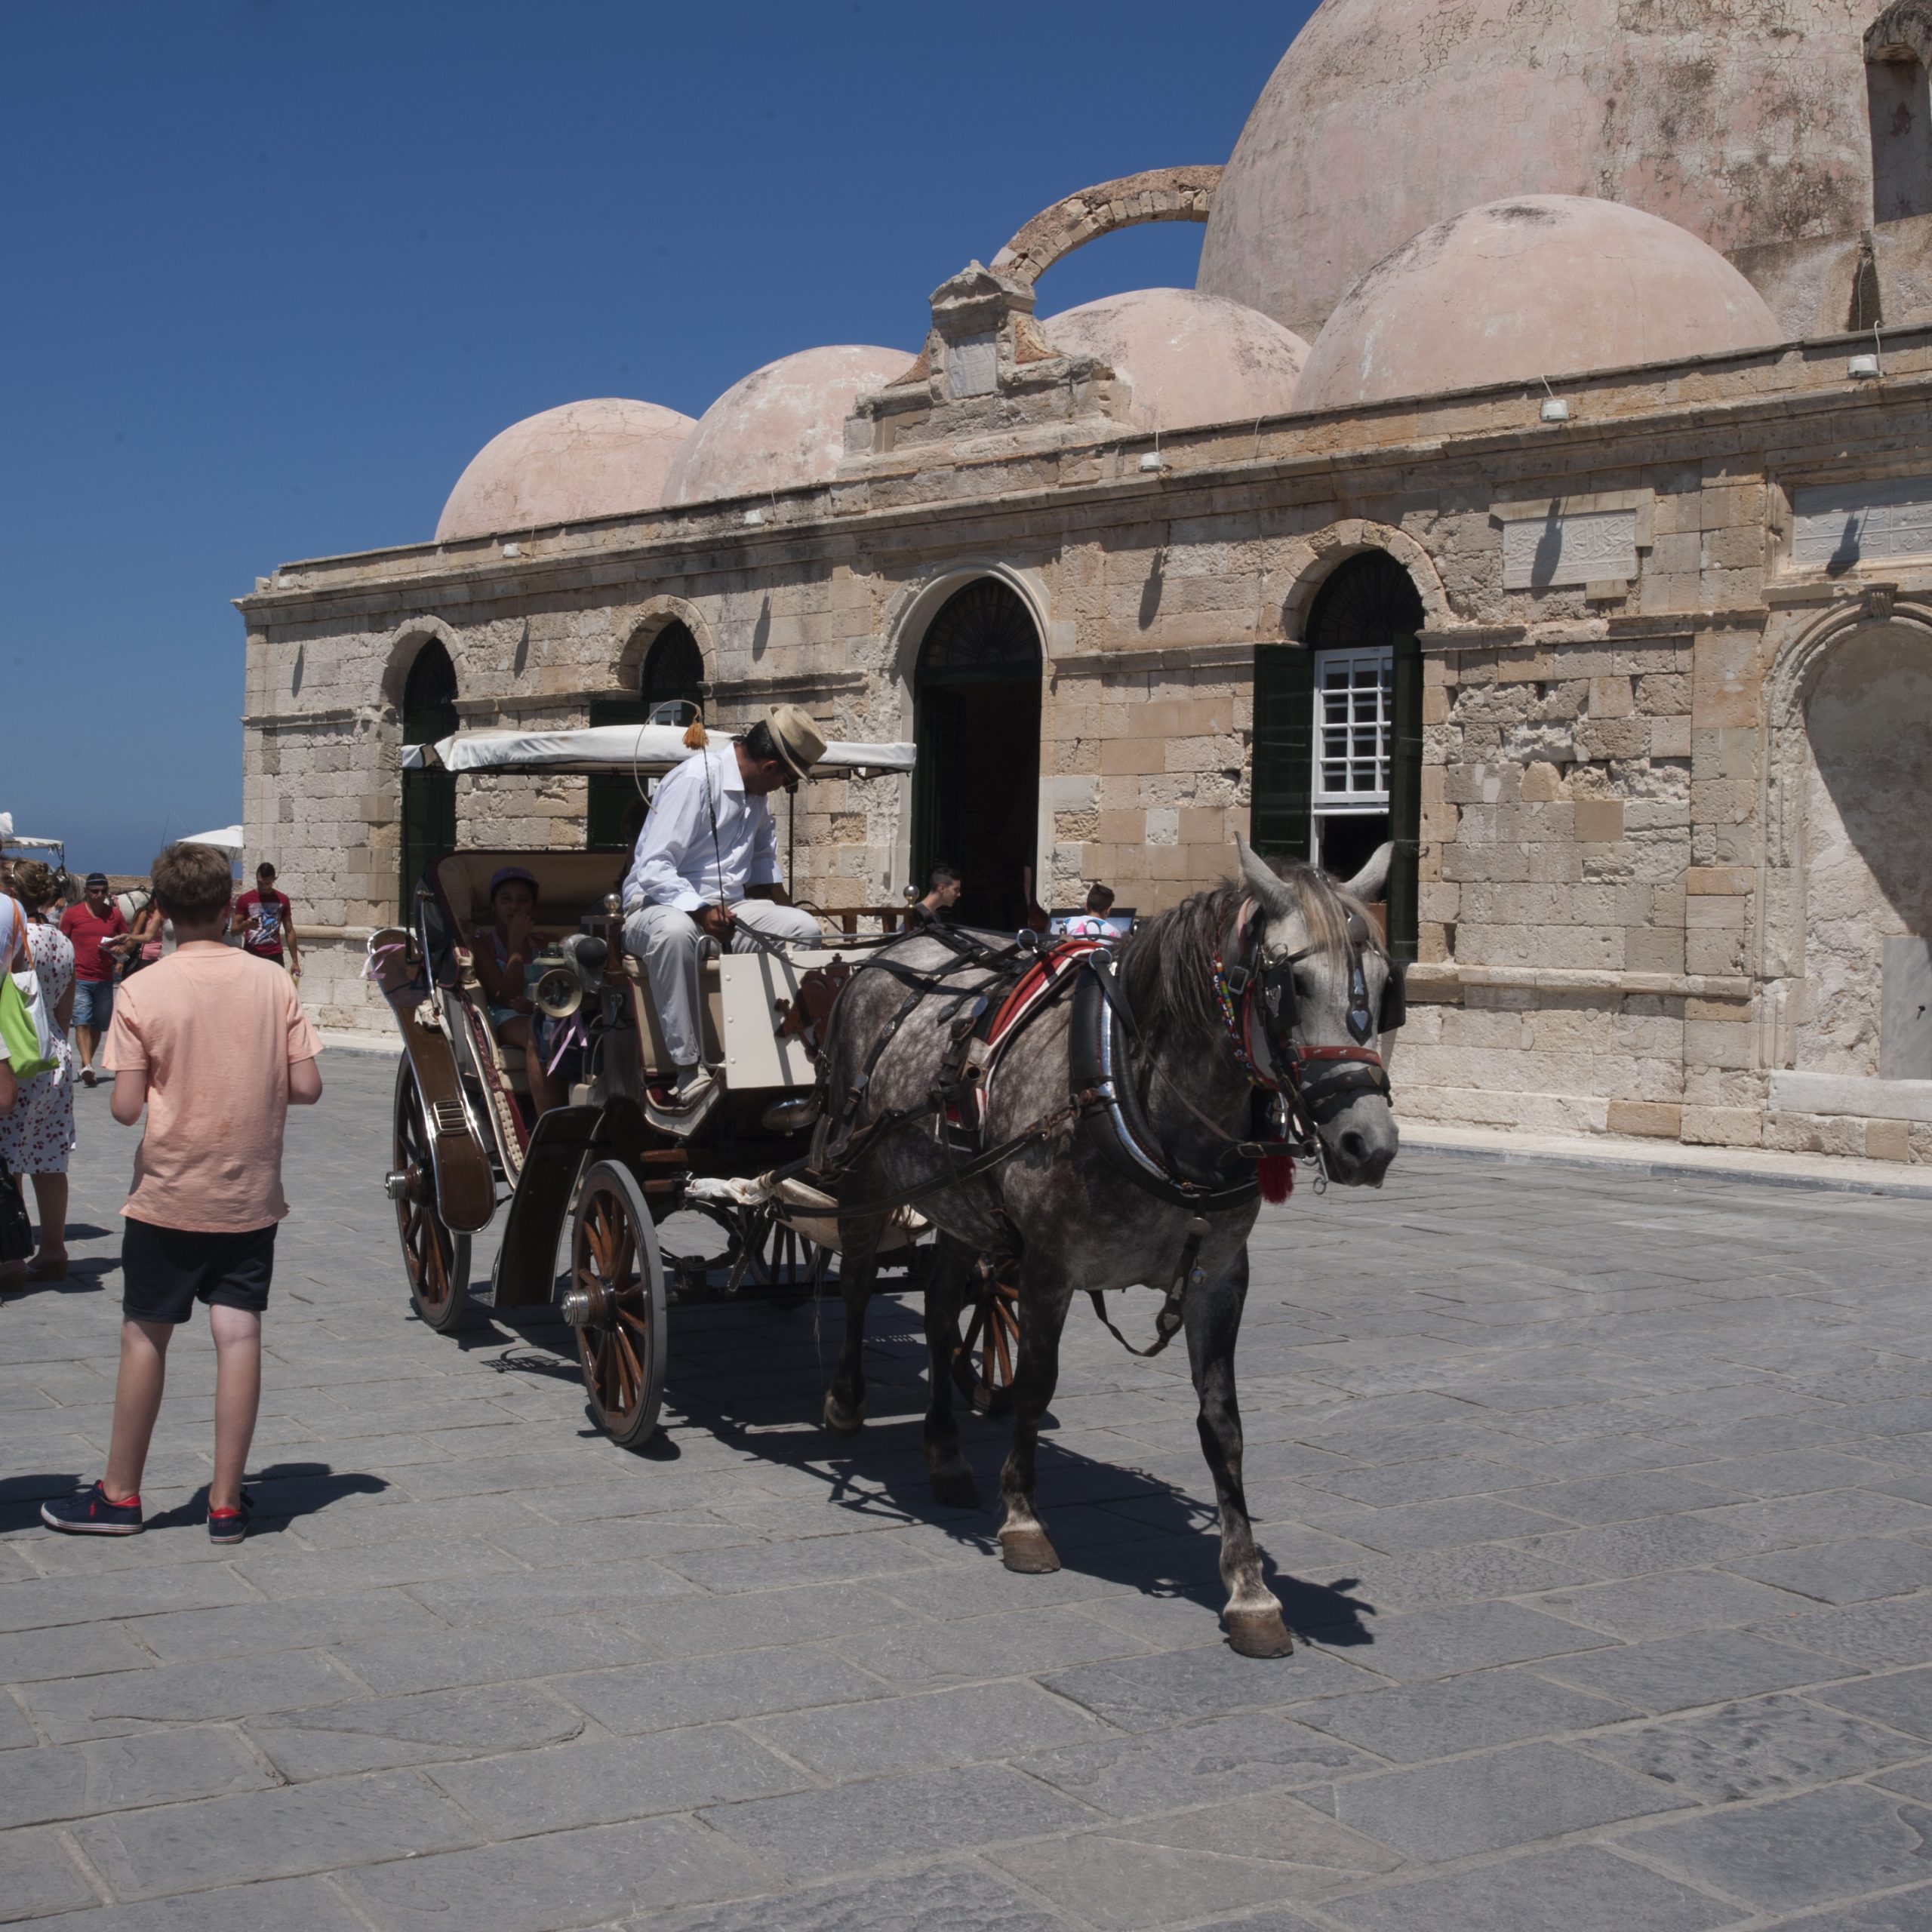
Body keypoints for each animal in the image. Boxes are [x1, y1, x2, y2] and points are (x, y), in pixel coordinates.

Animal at [815, 838, 1406, 1654]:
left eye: (1383, 986)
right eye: (1292, 981)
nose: (1367, 1144)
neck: (1135, 1093)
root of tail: (889, 952)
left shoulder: (1220, 1275)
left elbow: (1223, 1425)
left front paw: (1249, 1588)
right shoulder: (1049, 1263)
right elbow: (1036, 1384)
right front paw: (1024, 1520)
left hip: (961, 1200)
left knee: (937, 1311)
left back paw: (945, 1454)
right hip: (862, 1170)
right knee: (855, 1279)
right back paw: (846, 1402)